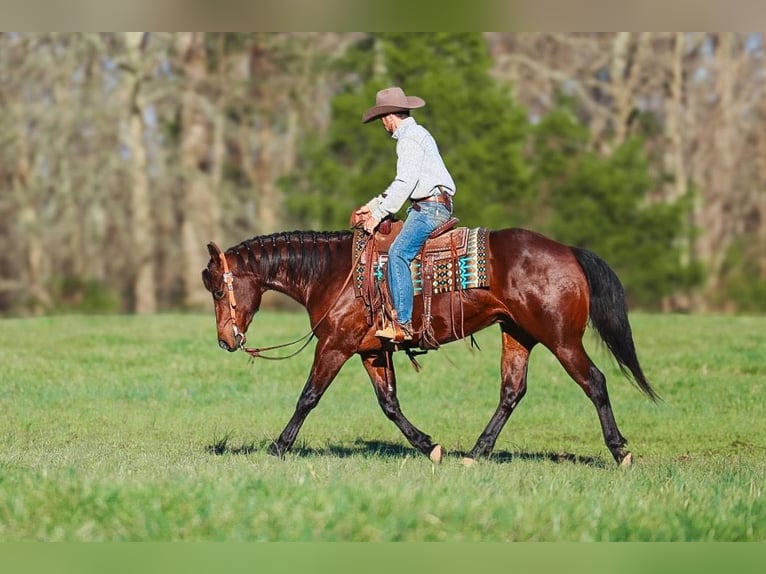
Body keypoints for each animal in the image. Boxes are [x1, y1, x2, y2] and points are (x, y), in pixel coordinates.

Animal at [201, 226, 659, 466]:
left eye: (219, 291)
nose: (225, 341)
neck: (333, 274)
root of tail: (568, 251)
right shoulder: (372, 351)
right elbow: (389, 404)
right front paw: (429, 446)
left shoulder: (335, 345)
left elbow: (308, 397)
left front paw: (278, 446)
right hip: (518, 334)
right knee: (512, 391)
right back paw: (476, 452)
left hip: (561, 339)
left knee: (595, 381)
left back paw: (620, 451)